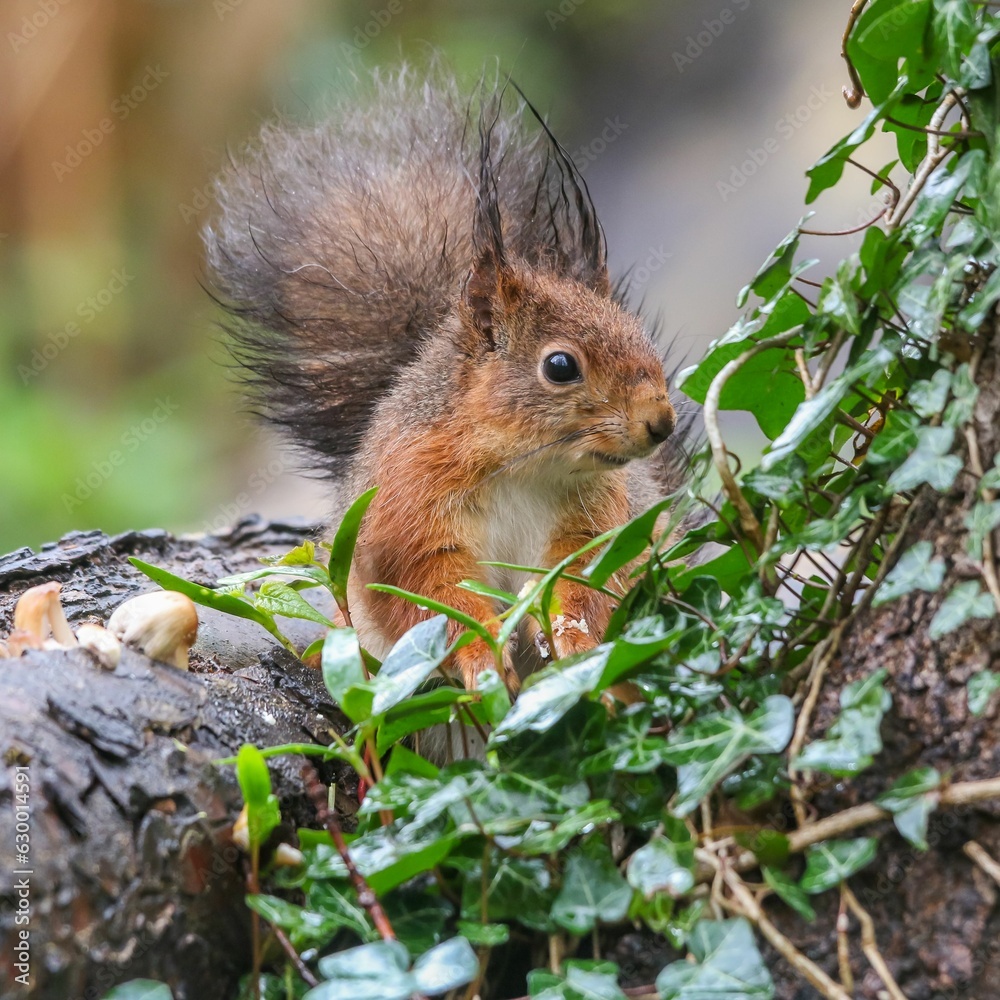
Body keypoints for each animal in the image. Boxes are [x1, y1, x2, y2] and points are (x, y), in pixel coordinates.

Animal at [208, 64, 684, 704]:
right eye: (561, 366)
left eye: (639, 335)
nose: (661, 422)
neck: (523, 467)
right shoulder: (408, 511)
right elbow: (434, 596)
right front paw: (482, 657)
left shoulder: (595, 520)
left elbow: (584, 579)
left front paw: (572, 635)